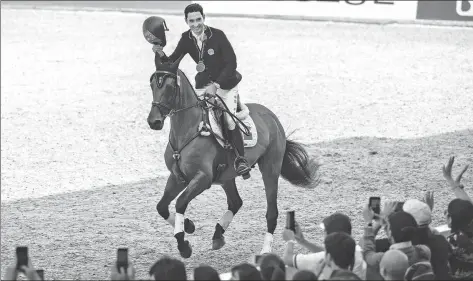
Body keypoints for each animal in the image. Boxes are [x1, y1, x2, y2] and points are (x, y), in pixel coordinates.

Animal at [146, 55, 318, 258]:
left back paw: (265, 250)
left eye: (171, 87)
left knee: (271, 211)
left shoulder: (203, 178)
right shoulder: (177, 177)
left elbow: (180, 203)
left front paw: (183, 244)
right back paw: (217, 235)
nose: (154, 122)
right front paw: (188, 226)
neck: (186, 132)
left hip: (270, 168)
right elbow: (161, 207)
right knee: (236, 202)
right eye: (152, 85)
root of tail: (271, 116)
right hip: (226, 177)